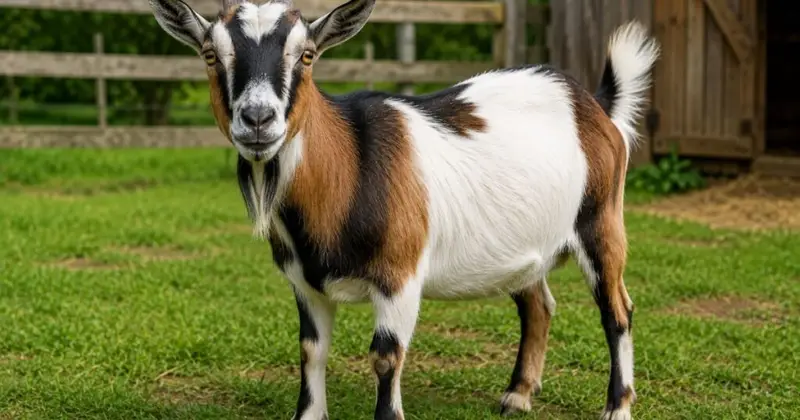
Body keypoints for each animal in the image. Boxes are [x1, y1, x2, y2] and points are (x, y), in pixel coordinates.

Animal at [149, 0, 659, 419]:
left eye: (308, 55)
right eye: (210, 55)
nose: (257, 119)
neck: (349, 171)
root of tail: (594, 105)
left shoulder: (400, 276)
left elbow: (385, 356)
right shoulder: (305, 282)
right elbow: (311, 350)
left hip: (600, 220)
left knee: (618, 310)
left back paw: (617, 406)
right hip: (526, 243)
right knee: (538, 305)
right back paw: (517, 395)